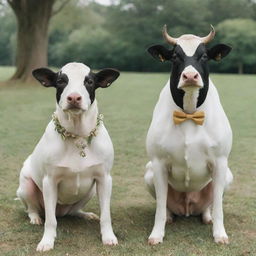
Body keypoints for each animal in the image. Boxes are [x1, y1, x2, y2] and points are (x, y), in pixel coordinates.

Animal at [16, 63, 120, 251]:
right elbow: (50, 221)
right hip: (27, 187)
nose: (74, 98)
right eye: (61, 81)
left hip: (89, 191)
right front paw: (47, 241)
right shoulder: (49, 182)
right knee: (33, 209)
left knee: (74, 211)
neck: (77, 135)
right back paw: (35, 217)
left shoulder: (104, 179)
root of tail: (61, 212)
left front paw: (108, 236)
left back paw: (84, 214)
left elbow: (106, 215)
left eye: (89, 81)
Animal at [144, 25, 234, 245]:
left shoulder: (220, 161)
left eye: (204, 56)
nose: (191, 76)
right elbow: (159, 206)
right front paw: (156, 234)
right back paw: (170, 216)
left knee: (210, 204)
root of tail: (187, 206)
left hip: (227, 176)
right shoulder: (158, 163)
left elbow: (219, 206)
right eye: (176, 56)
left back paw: (207, 217)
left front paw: (220, 234)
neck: (189, 114)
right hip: (148, 173)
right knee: (165, 205)